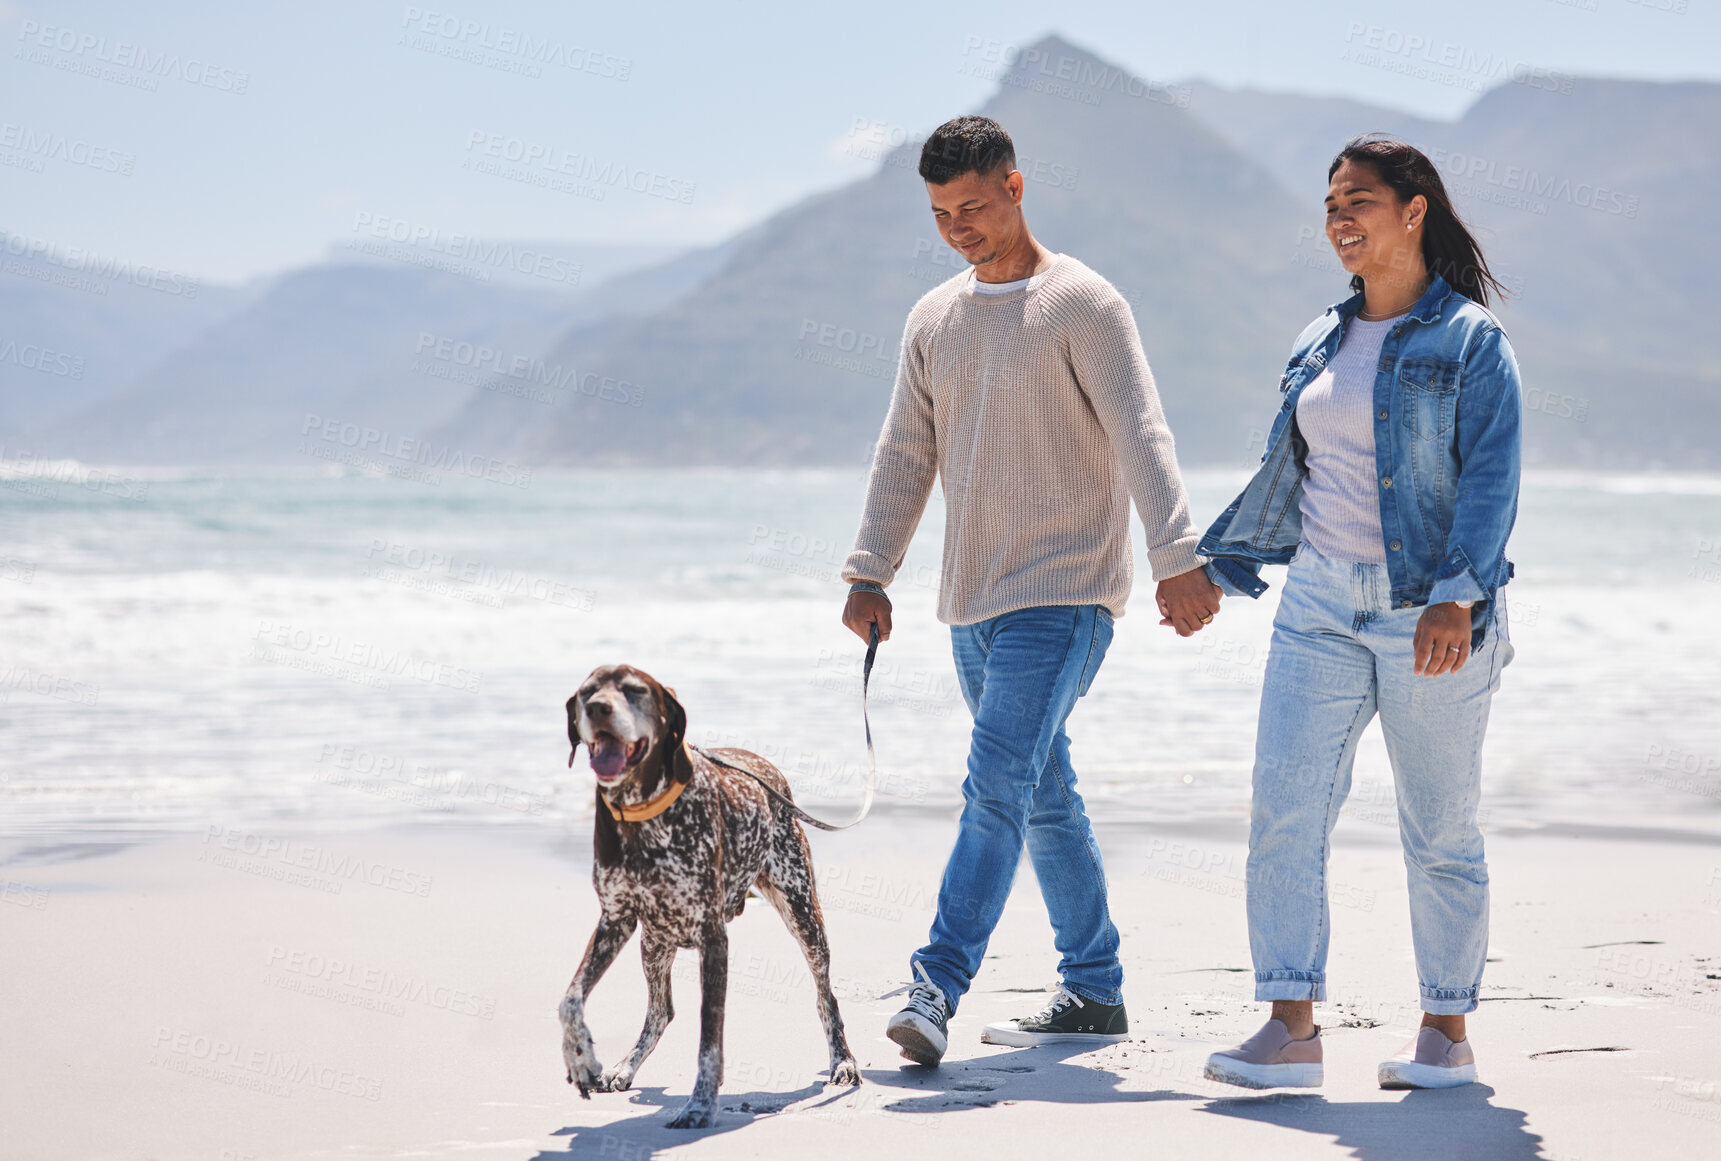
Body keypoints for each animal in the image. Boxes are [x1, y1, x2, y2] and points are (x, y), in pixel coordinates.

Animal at [561, 667, 860, 1128]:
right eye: (588, 692)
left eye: (634, 690)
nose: (597, 709)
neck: (645, 815)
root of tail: (767, 769)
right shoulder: (615, 919)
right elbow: (571, 999)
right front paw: (581, 1058)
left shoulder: (713, 938)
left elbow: (709, 1038)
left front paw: (700, 1104)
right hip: (654, 941)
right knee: (660, 1011)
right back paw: (626, 1066)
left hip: (803, 915)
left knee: (825, 995)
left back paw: (842, 1060)